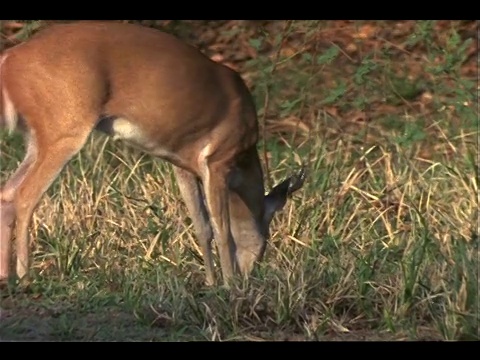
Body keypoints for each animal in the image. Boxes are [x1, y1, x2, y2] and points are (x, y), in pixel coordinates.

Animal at [0, 21, 306, 286]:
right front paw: (230, 286)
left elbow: (202, 227)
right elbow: (222, 229)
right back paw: (25, 275)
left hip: (37, 137)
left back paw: (6, 276)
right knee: (25, 195)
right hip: (64, 126)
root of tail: (9, 59)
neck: (244, 161)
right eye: (266, 234)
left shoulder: (183, 164)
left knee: (7, 192)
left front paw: (211, 283)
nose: (250, 273)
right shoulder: (218, 159)